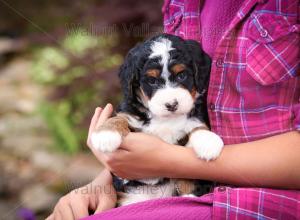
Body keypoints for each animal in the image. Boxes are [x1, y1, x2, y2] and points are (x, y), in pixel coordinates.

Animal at [90, 33, 224, 206]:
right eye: (152, 81)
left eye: (181, 75)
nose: (172, 104)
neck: (166, 119)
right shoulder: (130, 113)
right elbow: (120, 118)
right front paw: (105, 135)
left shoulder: (195, 117)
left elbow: (198, 127)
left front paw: (209, 143)